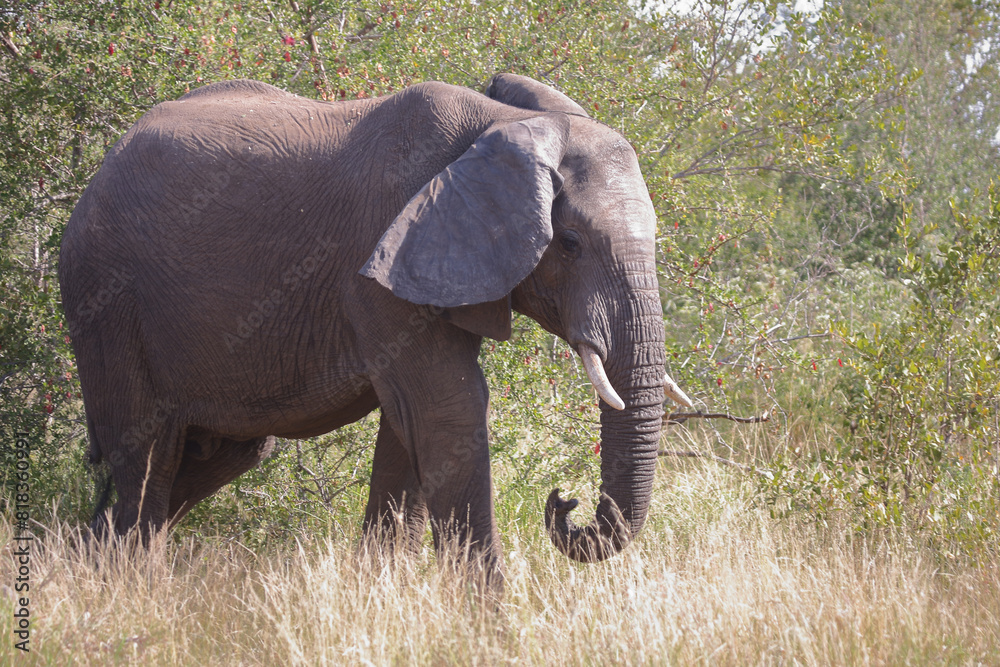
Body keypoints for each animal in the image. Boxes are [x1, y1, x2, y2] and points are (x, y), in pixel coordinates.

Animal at [59, 73, 693, 583]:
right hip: (106, 302)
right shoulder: (381, 264)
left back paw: (85, 563)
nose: (564, 501)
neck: (501, 124)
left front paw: (382, 593)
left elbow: (408, 428)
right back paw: (129, 592)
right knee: (148, 453)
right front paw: (491, 627)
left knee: (219, 455)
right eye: (571, 243)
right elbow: (448, 410)